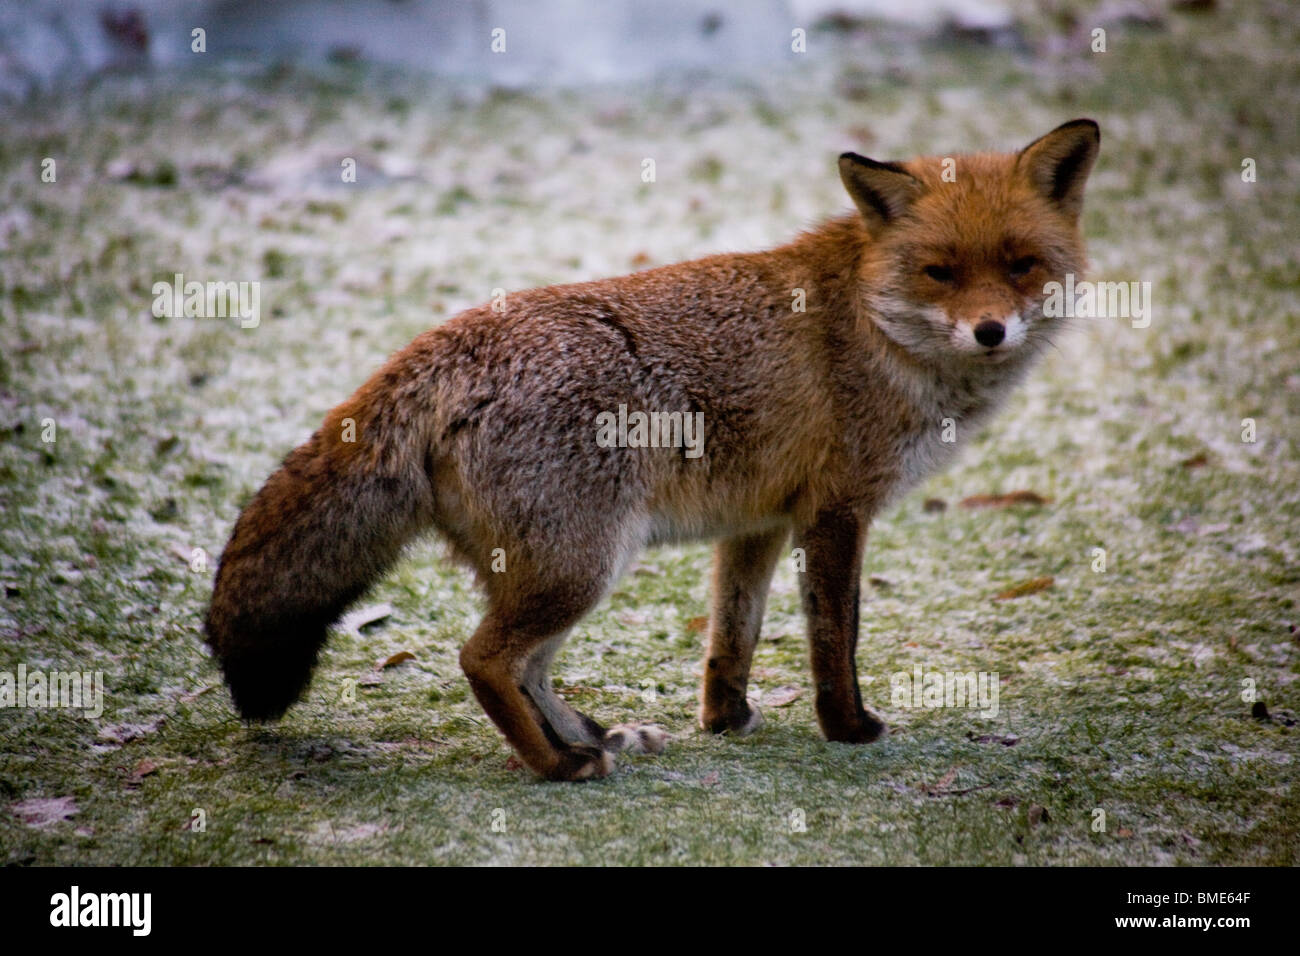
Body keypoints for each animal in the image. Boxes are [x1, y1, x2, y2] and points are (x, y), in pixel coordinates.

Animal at [205, 119, 1100, 781]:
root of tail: (448, 342)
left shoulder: (758, 522)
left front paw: (726, 721)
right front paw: (847, 728)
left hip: (560, 568)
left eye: (1022, 264)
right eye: (940, 272)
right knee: (483, 659)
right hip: (583, 564)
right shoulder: (838, 511)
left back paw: (583, 739)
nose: (991, 330)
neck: (876, 327)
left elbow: (731, 637)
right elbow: (834, 638)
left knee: (526, 666)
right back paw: (556, 767)